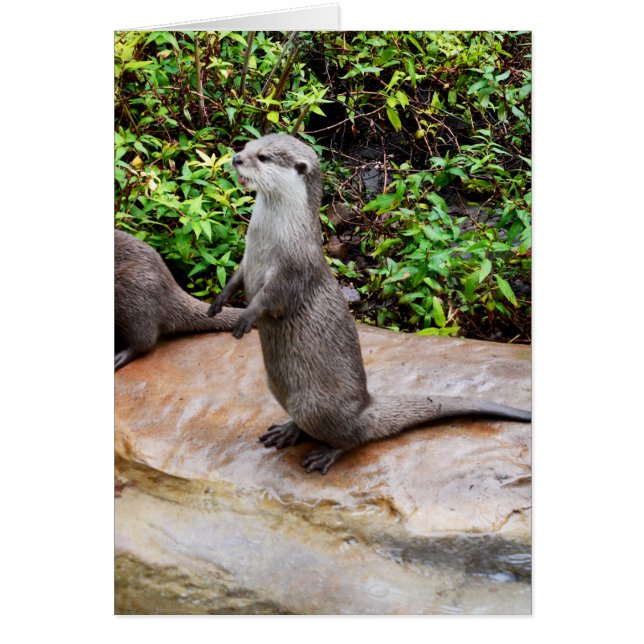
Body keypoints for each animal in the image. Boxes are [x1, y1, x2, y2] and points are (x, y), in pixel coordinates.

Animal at [208, 134, 531, 473]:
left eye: (263, 157)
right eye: (247, 146)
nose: (236, 159)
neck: (269, 239)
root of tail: (365, 406)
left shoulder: (294, 268)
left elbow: (271, 298)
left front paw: (246, 317)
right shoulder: (248, 258)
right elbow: (237, 277)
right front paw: (219, 303)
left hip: (315, 406)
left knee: (354, 437)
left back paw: (326, 453)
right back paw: (287, 430)